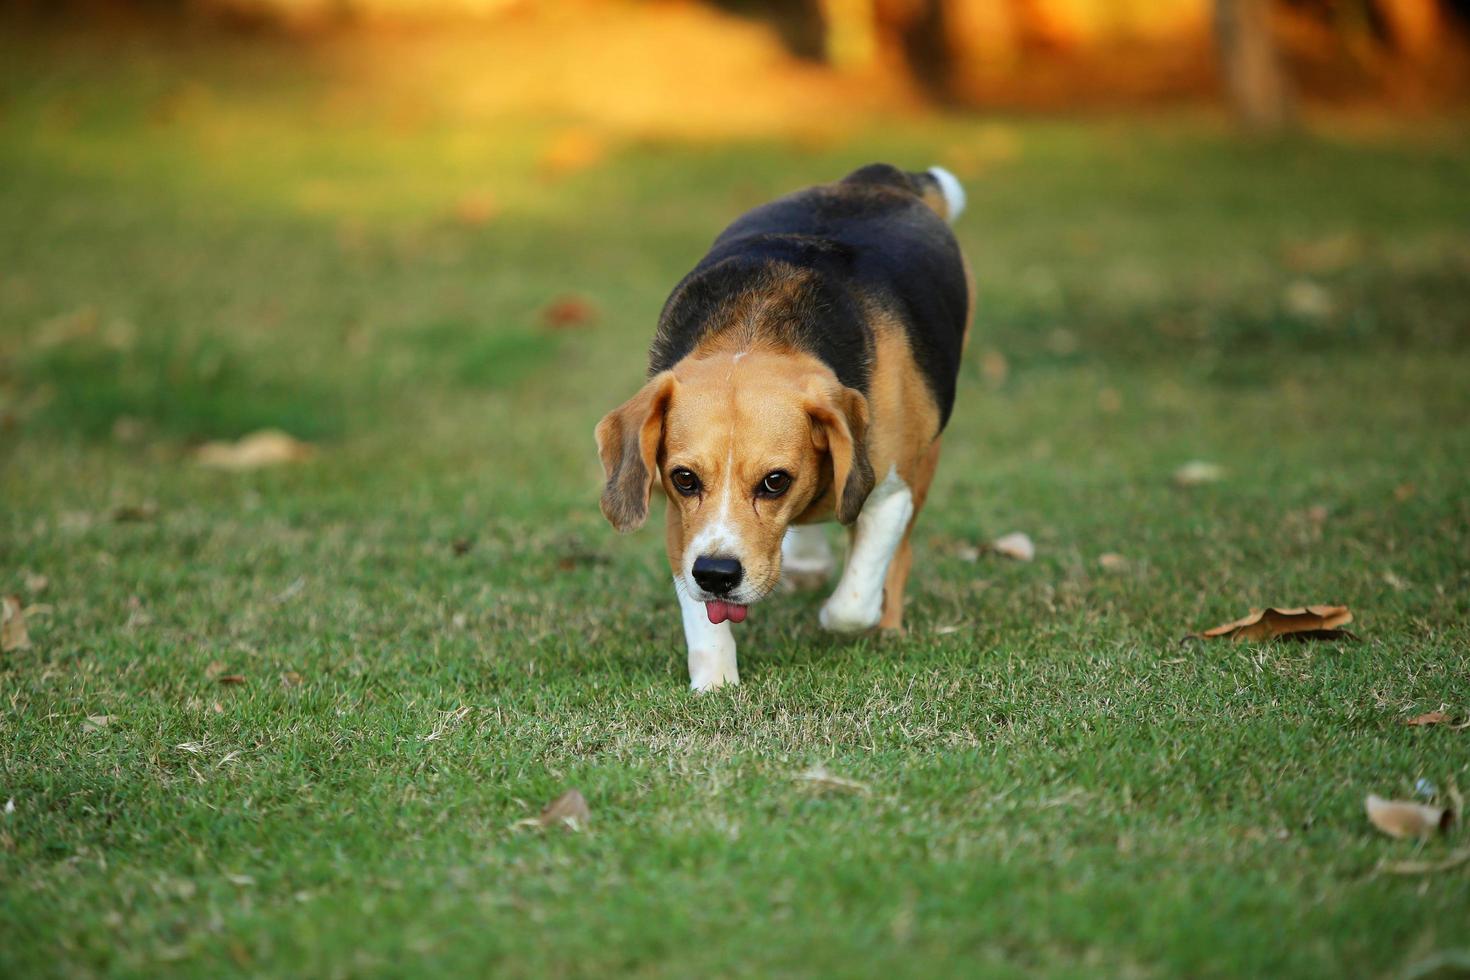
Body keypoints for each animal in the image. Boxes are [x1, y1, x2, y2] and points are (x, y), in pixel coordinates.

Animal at [590, 163, 970, 690]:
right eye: (684, 479)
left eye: (775, 482)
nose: (717, 574)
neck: (757, 328)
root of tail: (881, 177)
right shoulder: (681, 527)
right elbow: (702, 621)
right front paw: (716, 684)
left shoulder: (890, 492)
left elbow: (853, 602)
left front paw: (838, 616)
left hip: (923, 461)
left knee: (897, 557)